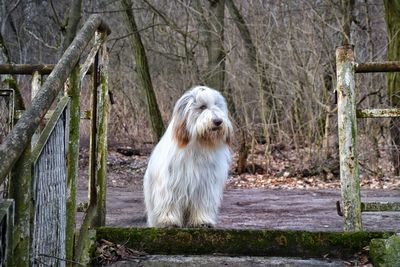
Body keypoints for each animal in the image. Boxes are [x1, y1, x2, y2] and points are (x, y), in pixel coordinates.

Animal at [144, 86, 233, 228]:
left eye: (217, 105)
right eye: (202, 107)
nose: (218, 121)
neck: (199, 144)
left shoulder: (206, 184)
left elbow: (203, 202)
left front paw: (202, 220)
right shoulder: (171, 182)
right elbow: (169, 200)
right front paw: (169, 221)